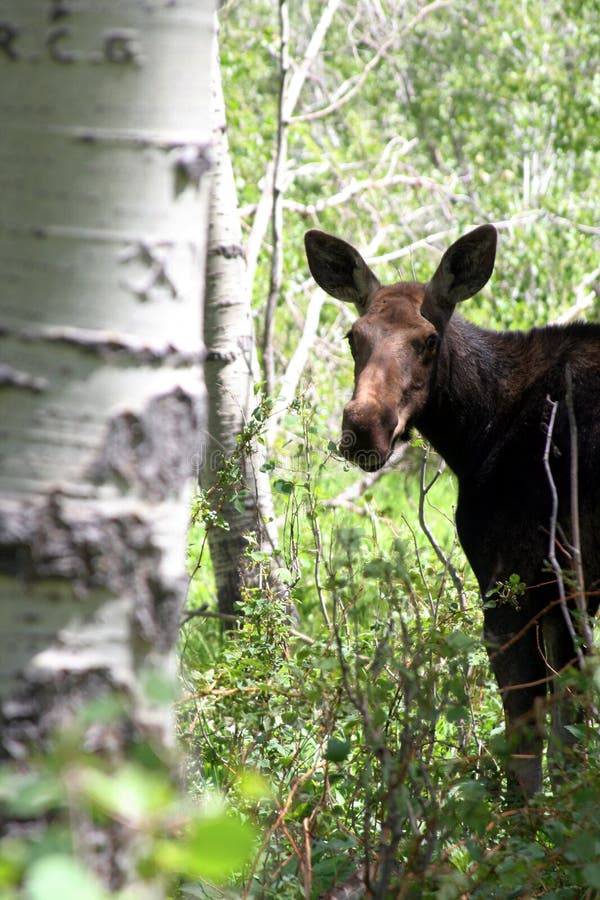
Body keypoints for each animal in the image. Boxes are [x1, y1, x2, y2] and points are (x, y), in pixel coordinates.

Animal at [308, 223, 596, 796]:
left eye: (429, 340)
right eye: (353, 337)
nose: (363, 427)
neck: (478, 430)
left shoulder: (517, 576)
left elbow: (529, 748)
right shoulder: (562, 589)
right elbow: (567, 738)